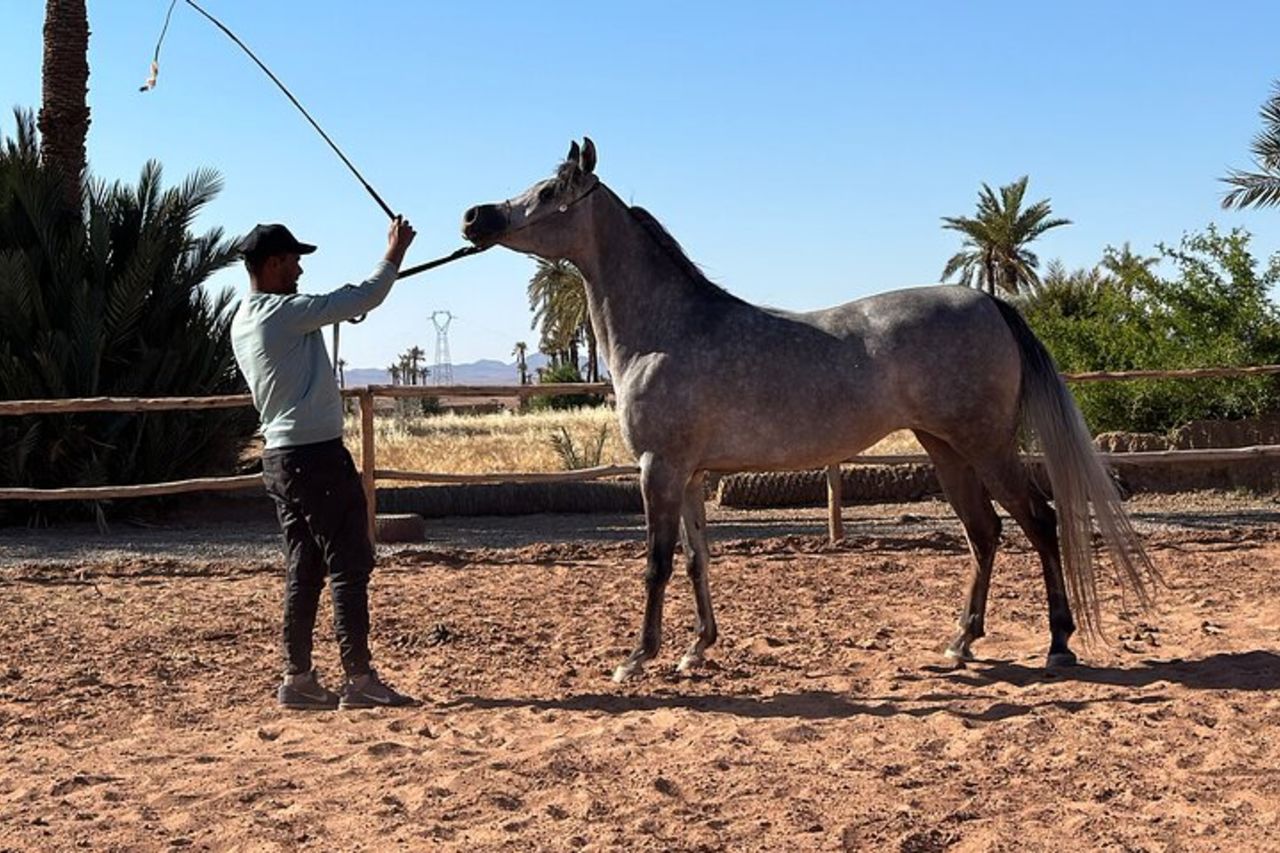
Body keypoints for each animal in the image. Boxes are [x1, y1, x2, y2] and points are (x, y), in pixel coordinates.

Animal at [462, 138, 1158, 682]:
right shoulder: (691, 476)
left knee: (1039, 521)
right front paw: (696, 649)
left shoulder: (658, 469)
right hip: (945, 449)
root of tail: (990, 302)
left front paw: (638, 658)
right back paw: (960, 642)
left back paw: (1059, 644)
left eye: (549, 189)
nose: (475, 216)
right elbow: (695, 558)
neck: (666, 331)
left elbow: (656, 564)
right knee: (984, 532)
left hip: (985, 446)